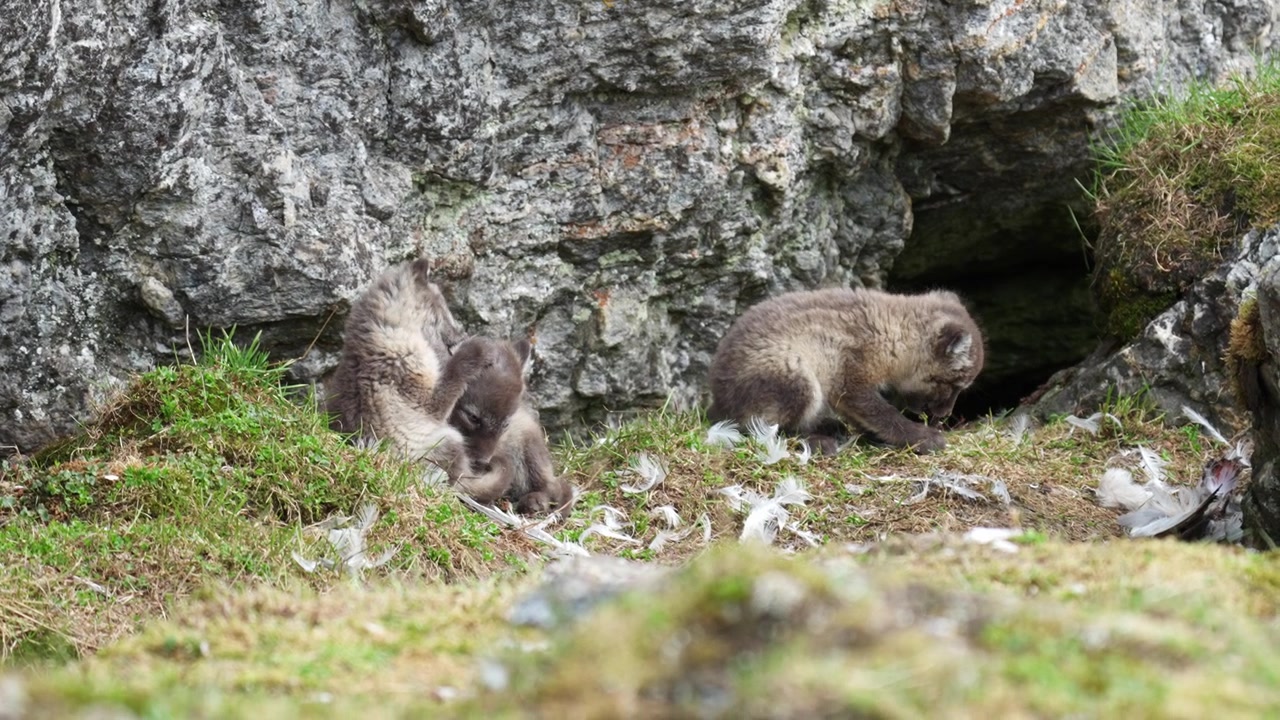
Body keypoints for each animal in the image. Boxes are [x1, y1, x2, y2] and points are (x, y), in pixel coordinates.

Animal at [707, 287, 985, 454]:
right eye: (953, 386)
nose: (945, 416)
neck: (891, 332)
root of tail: (719, 403)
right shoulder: (850, 383)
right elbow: (887, 415)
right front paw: (923, 437)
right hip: (800, 381)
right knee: (761, 429)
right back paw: (818, 441)